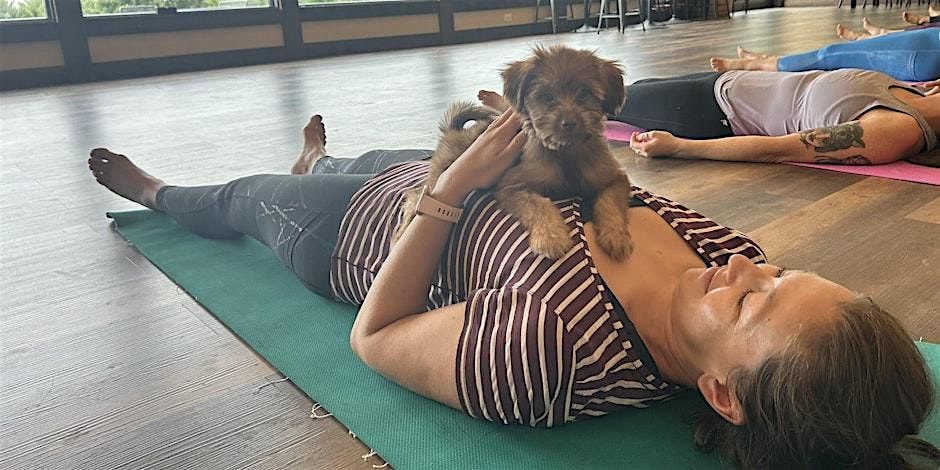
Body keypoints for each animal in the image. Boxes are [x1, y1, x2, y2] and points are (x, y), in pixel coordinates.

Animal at [496, 45, 636, 258]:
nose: (569, 123)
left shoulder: (615, 178)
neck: (567, 152)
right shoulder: (513, 185)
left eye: (584, 94)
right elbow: (538, 205)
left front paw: (615, 235)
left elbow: (609, 203)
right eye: (547, 97)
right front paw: (550, 237)